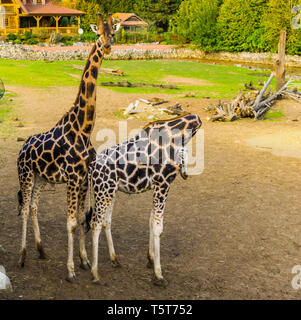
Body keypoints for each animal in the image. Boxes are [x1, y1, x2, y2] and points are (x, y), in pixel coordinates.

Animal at [16, 13, 119, 282]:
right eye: (97, 34)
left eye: (113, 33)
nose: (107, 46)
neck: (84, 129)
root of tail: (22, 149)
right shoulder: (73, 178)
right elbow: (71, 222)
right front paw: (71, 270)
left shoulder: (83, 179)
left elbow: (83, 219)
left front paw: (84, 262)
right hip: (25, 175)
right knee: (24, 208)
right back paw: (21, 257)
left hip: (40, 178)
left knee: (33, 206)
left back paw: (40, 251)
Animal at [85, 114, 202, 286]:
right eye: (183, 154)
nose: (185, 174)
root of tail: (92, 166)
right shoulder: (163, 184)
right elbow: (158, 227)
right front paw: (159, 275)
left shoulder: (157, 186)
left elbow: (151, 221)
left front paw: (151, 259)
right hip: (103, 191)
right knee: (95, 223)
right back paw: (95, 273)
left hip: (110, 191)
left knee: (106, 221)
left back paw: (115, 260)